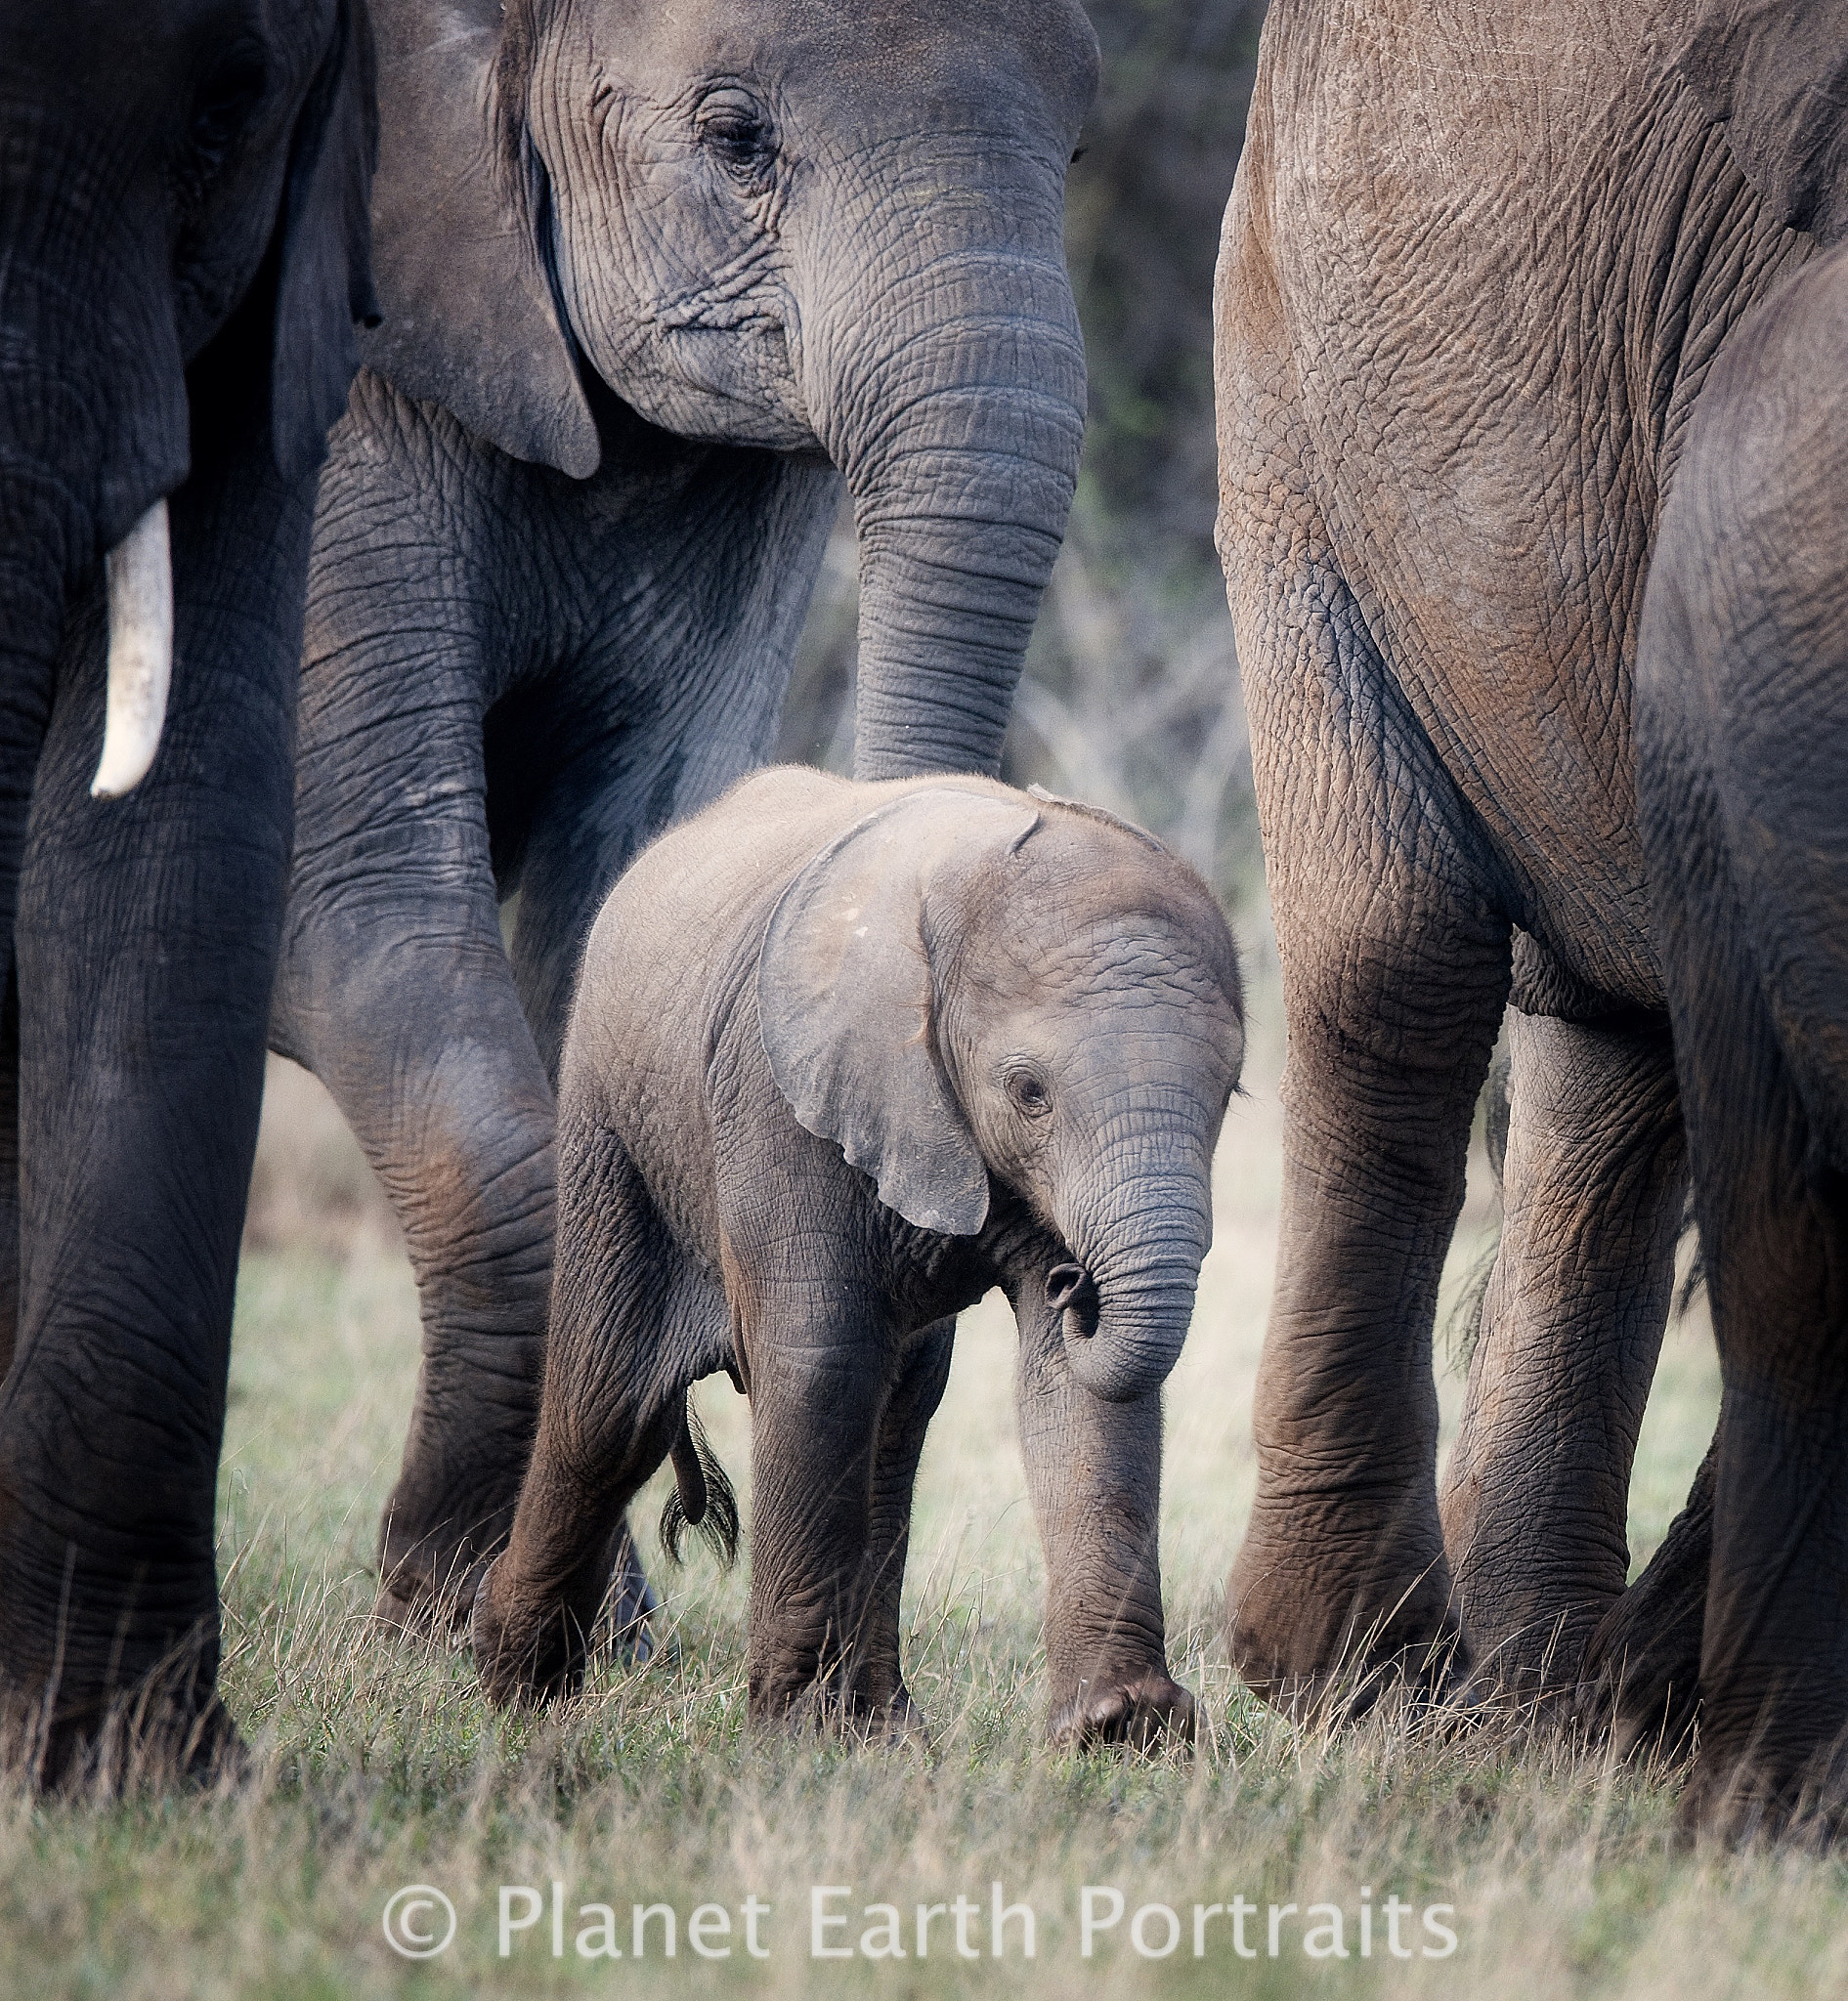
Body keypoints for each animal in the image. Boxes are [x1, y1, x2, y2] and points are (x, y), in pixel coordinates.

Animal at [274, 0, 1096, 1624]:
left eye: (1079, 137)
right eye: (734, 141)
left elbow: (624, 906)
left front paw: (585, 1621)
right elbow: (344, 913)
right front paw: (451, 1601)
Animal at [470, 772, 1249, 1744]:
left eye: (1229, 1091)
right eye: (1027, 1093)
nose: (1077, 1281)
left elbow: (1070, 1385)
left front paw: (1122, 1729)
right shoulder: (779, 1094)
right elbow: (818, 1366)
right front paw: (795, 1734)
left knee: (896, 1417)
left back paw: (882, 1731)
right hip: (612, 1127)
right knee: (608, 1415)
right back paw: (513, 1690)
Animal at [1217, 0, 1841, 1832]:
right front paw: (1763, 1793)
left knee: (1615, 1072)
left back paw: (1550, 1705)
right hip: (1285, 358)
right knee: (1398, 960)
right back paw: (1367, 1673)